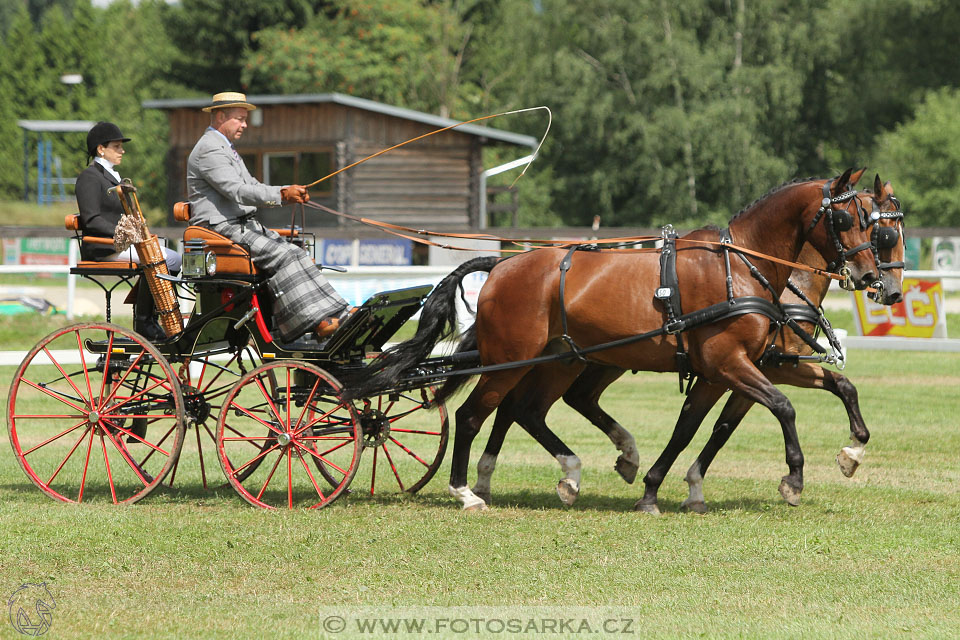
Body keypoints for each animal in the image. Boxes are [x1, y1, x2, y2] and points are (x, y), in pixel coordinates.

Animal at [362, 169, 892, 510]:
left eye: (877, 226)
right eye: (847, 220)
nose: (876, 280)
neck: (740, 266)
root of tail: (504, 263)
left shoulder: (725, 369)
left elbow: (696, 427)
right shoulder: (729, 362)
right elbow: (781, 408)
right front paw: (794, 478)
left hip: (561, 360)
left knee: (524, 411)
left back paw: (574, 472)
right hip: (513, 360)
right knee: (474, 415)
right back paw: (467, 492)